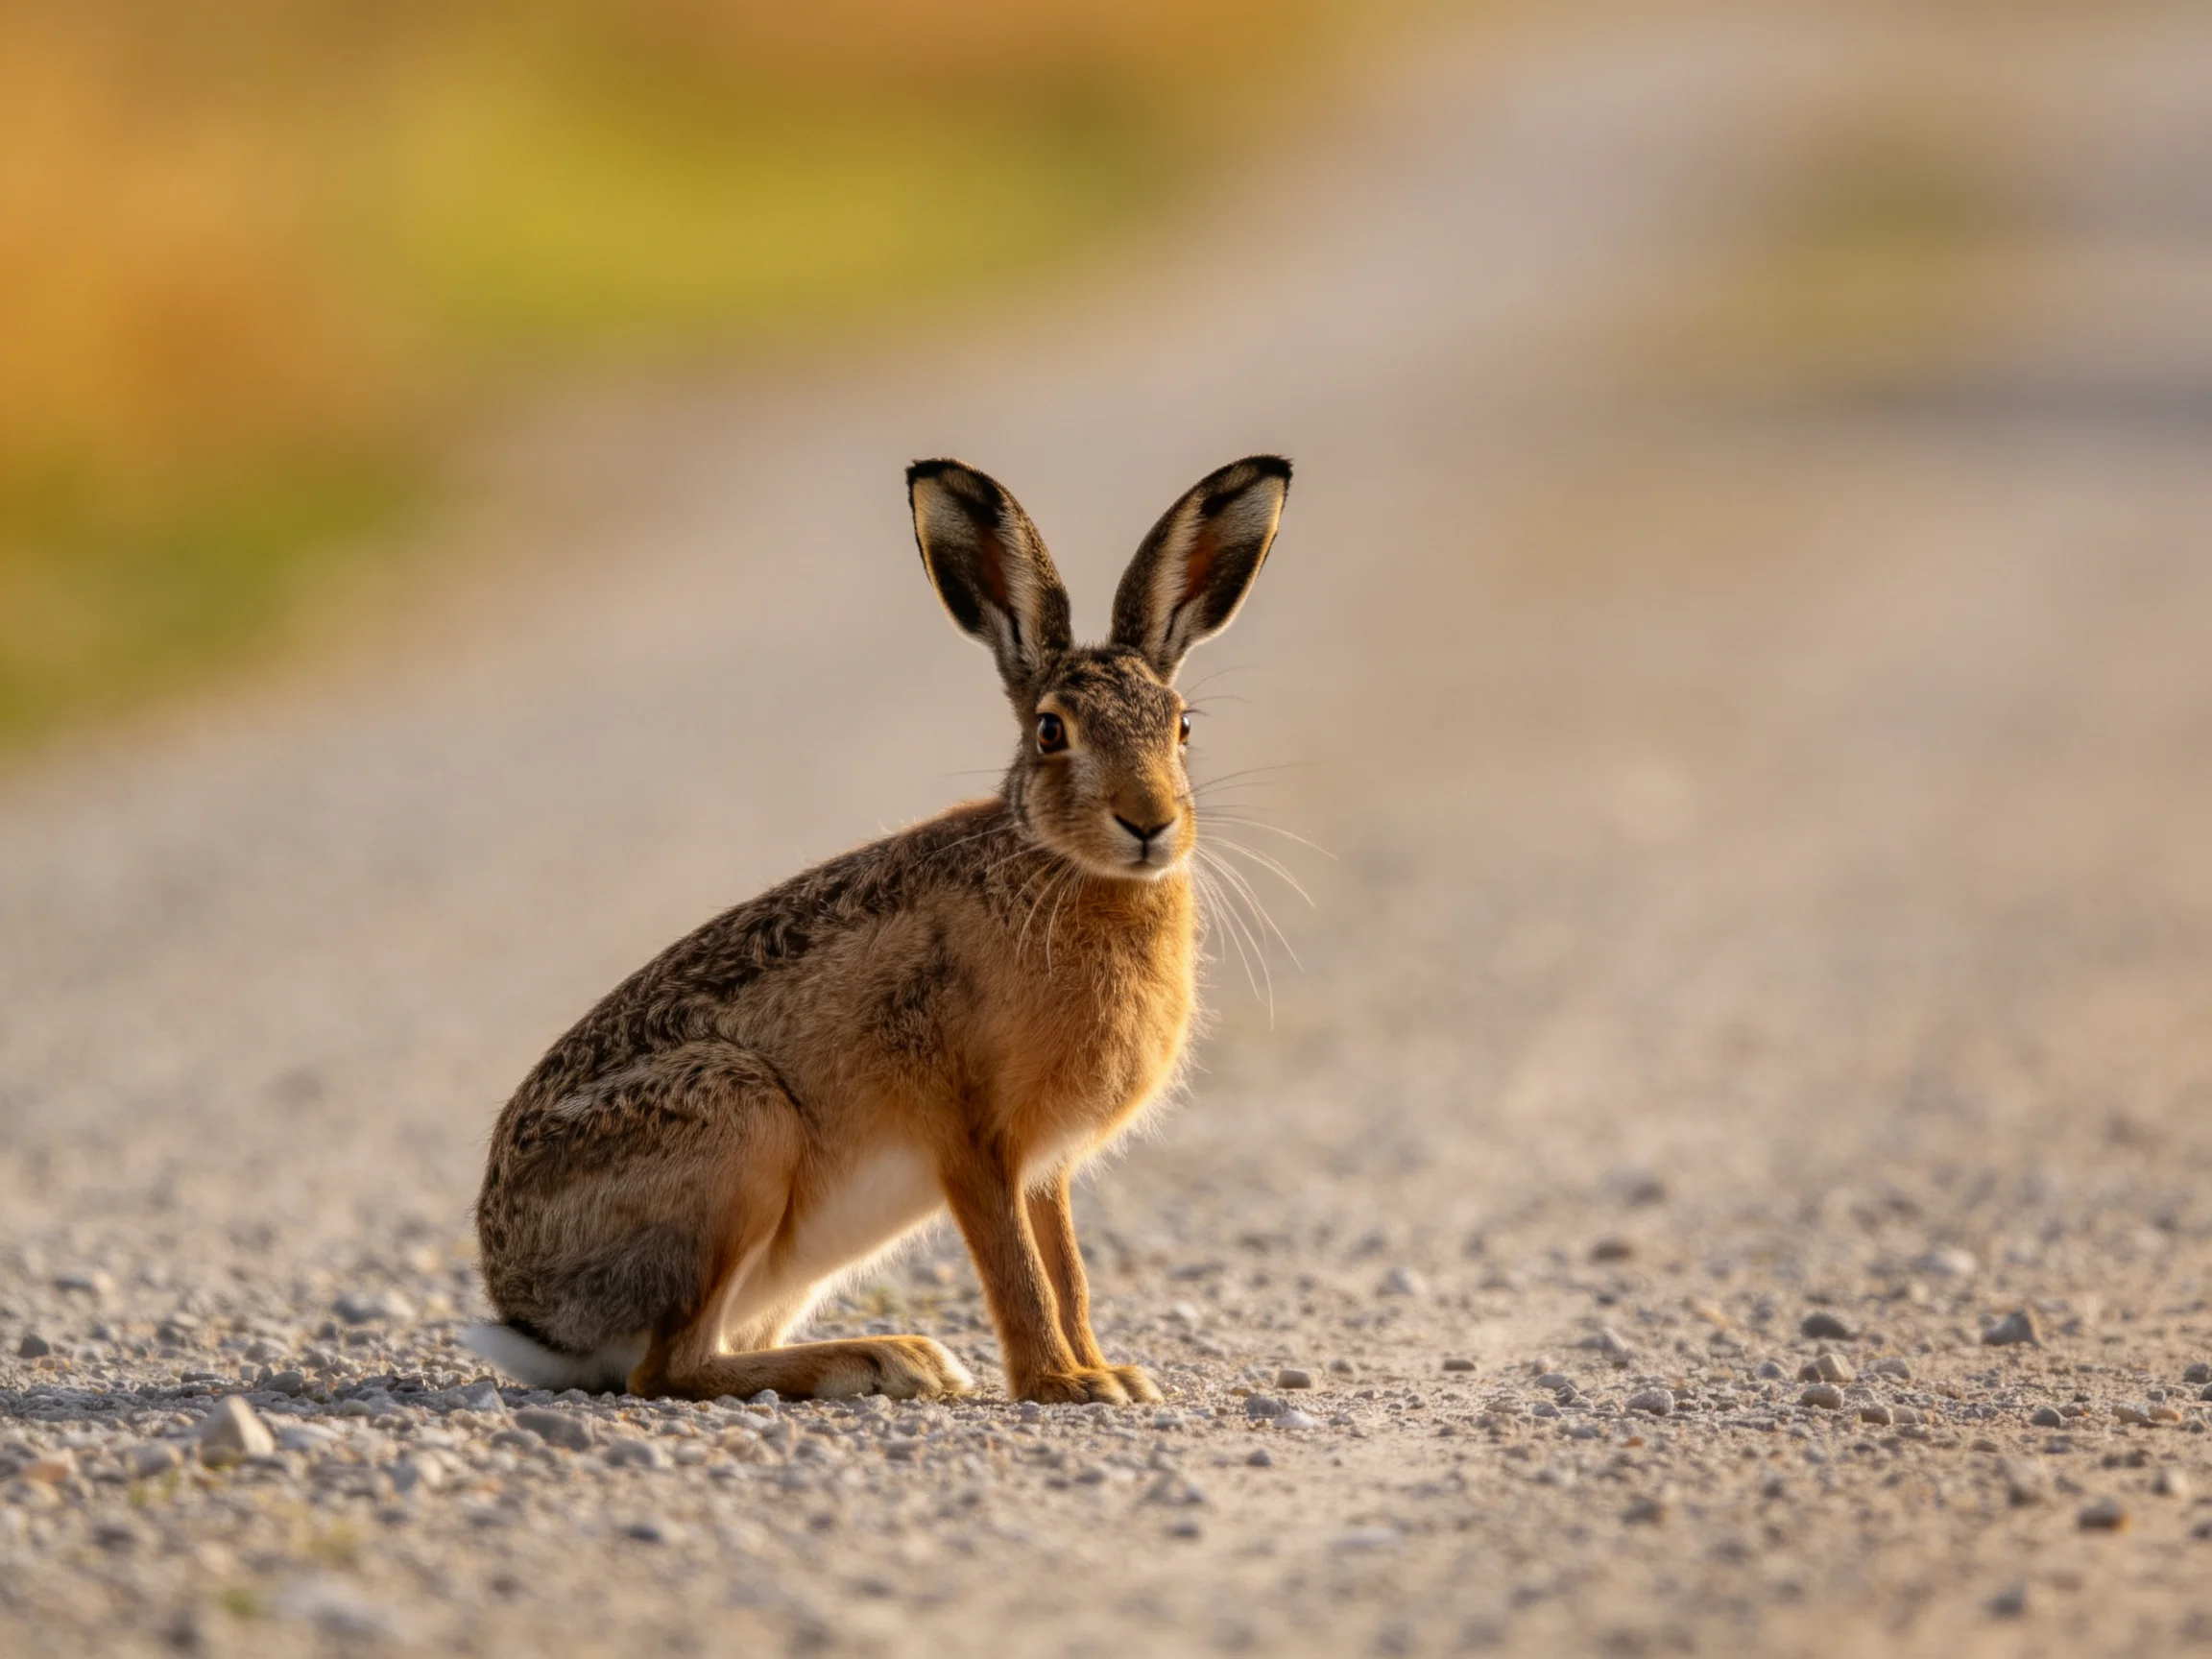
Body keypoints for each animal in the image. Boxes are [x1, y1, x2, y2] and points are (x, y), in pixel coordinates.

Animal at [465, 454, 1290, 1403]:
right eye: (1052, 731)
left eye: (1183, 727)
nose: (1149, 823)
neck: (1062, 867)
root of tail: (530, 1311)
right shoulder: (970, 1137)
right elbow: (1016, 1270)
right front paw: (1060, 1386)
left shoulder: (1045, 1170)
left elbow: (1068, 1271)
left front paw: (1107, 1373)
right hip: (739, 1130)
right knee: (669, 1368)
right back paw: (881, 1359)